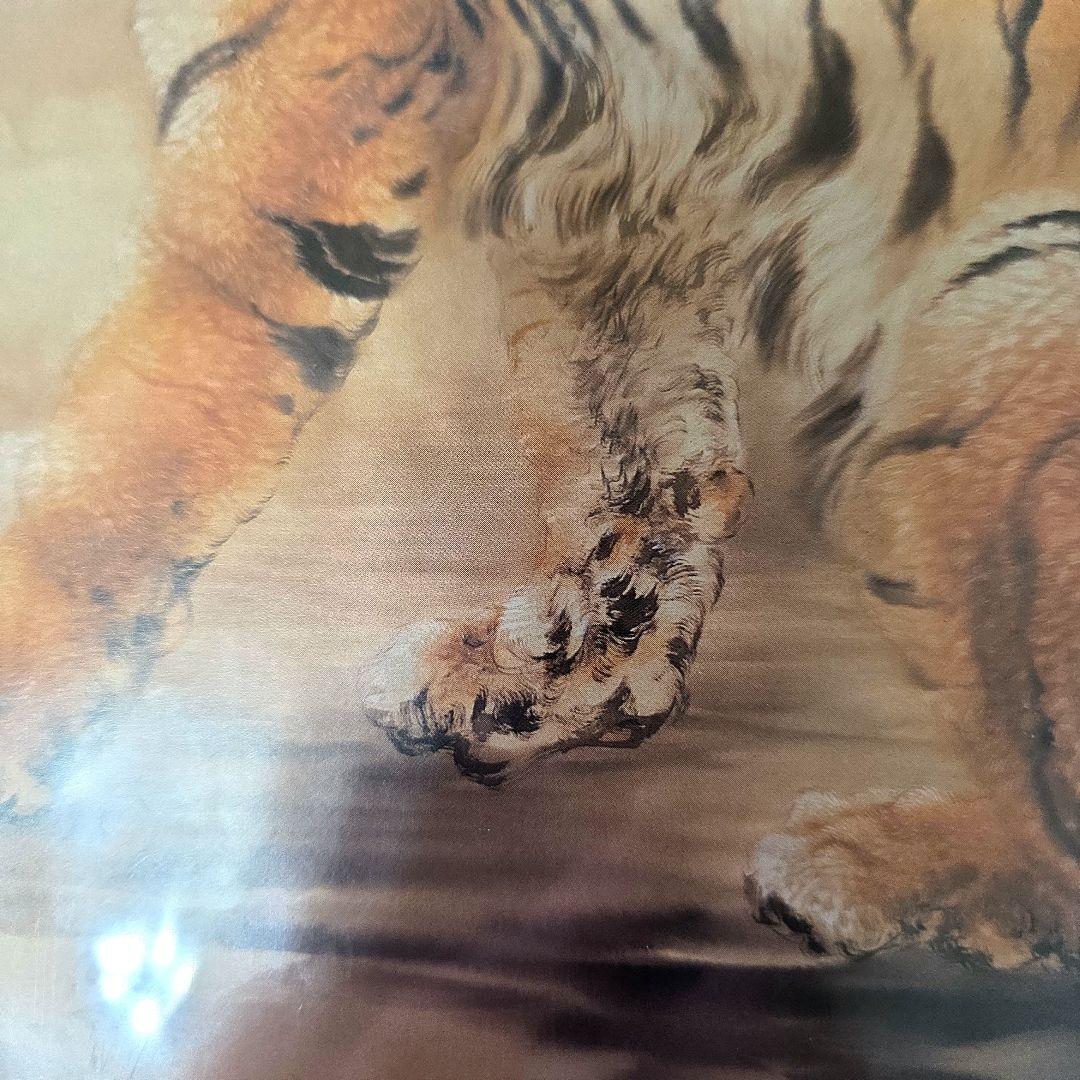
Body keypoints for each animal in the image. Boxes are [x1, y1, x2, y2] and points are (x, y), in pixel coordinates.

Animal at [2, 0, 1079, 969]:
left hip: (976, 307)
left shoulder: (301, 69)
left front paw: (23, 679)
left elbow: (157, 388)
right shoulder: (630, 183)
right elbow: (623, 451)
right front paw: (550, 679)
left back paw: (867, 862)